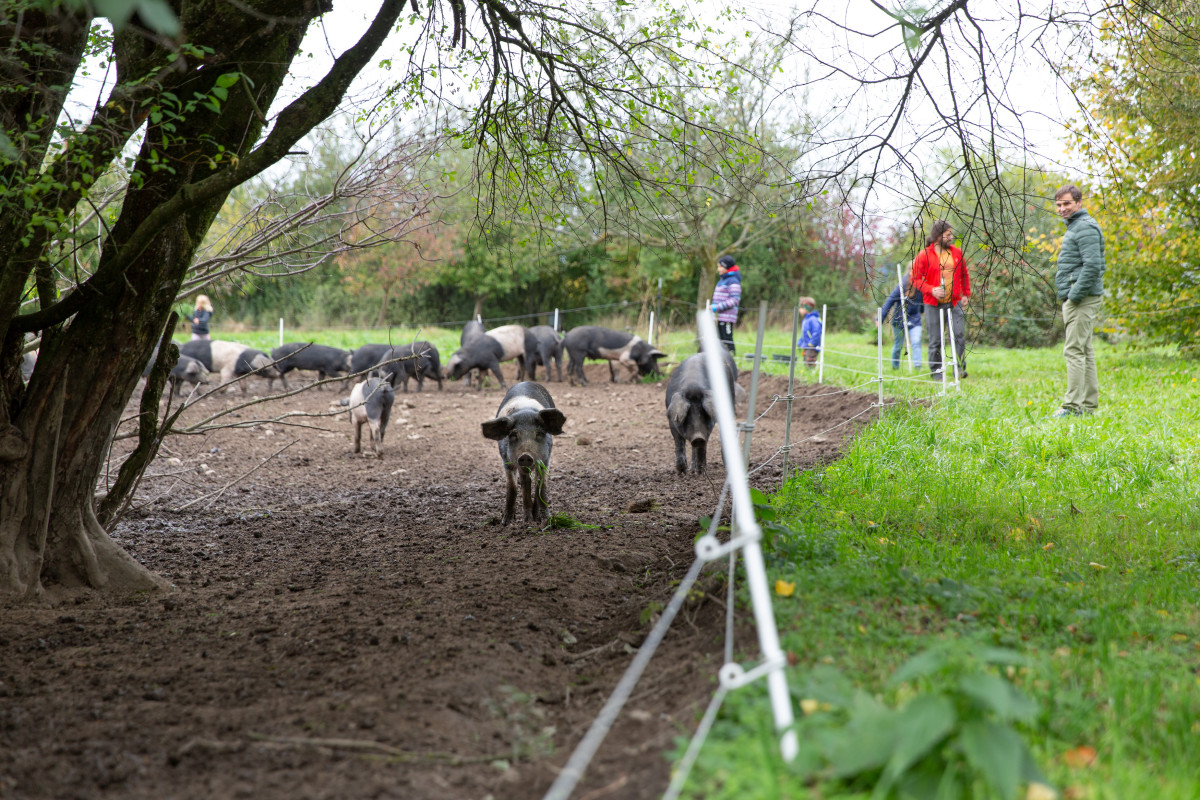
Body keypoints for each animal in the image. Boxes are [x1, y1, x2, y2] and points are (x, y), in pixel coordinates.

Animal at [477, 381, 566, 525]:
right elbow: (513, 487)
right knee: (525, 481)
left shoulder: (546, 459)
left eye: (539, 433)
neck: (525, 413)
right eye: (513, 435)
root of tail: (526, 381)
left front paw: (545, 519)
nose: (525, 455)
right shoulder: (506, 461)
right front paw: (507, 522)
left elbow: (541, 486)